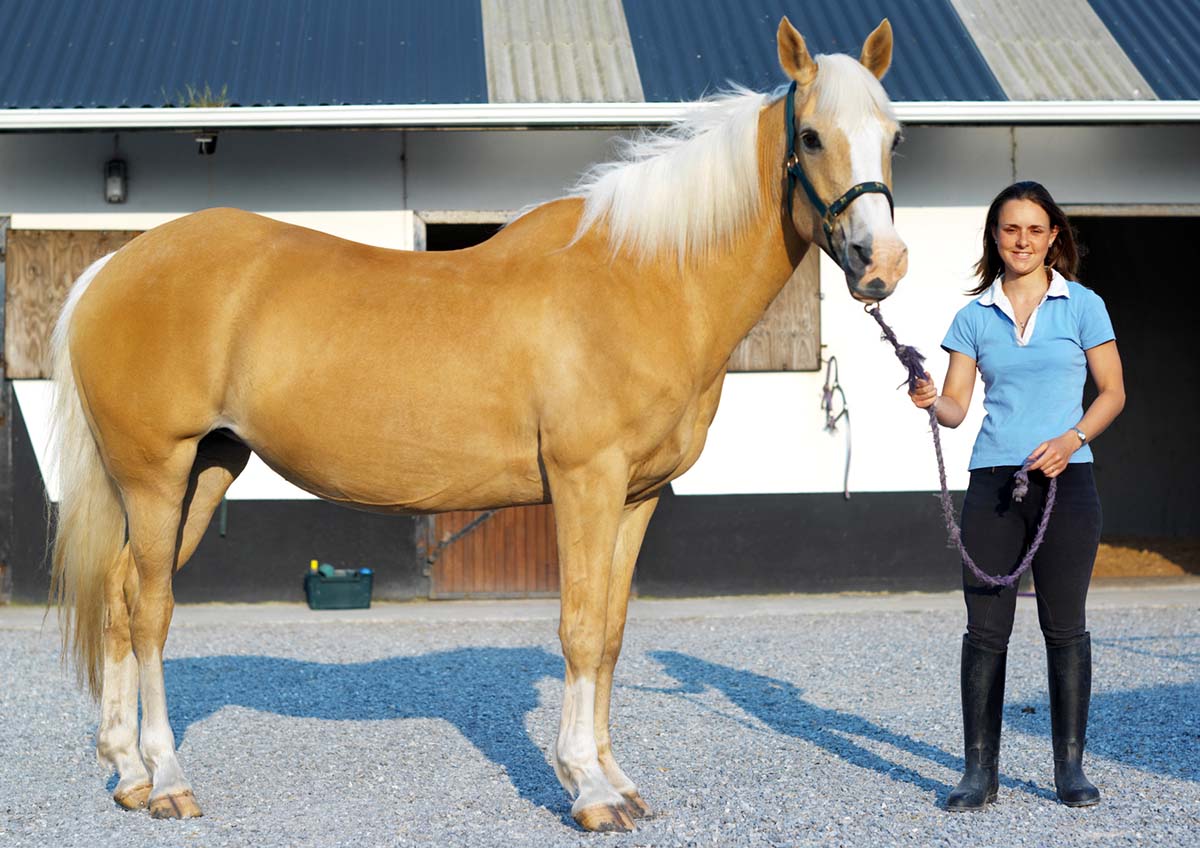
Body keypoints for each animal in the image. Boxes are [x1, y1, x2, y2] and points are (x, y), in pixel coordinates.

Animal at [49, 16, 907, 833]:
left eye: (894, 135)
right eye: (810, 136)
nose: (882, 264)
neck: (641, 280)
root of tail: (114, 266)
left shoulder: (636, 498)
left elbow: (612, 632)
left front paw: (620, 781)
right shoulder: (586, 483)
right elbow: (580, 629)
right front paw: (590, 790)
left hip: (207, 469)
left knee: (122, 596)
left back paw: (127, 773)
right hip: (156, 475)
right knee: (151, 610)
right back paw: (168, 781)